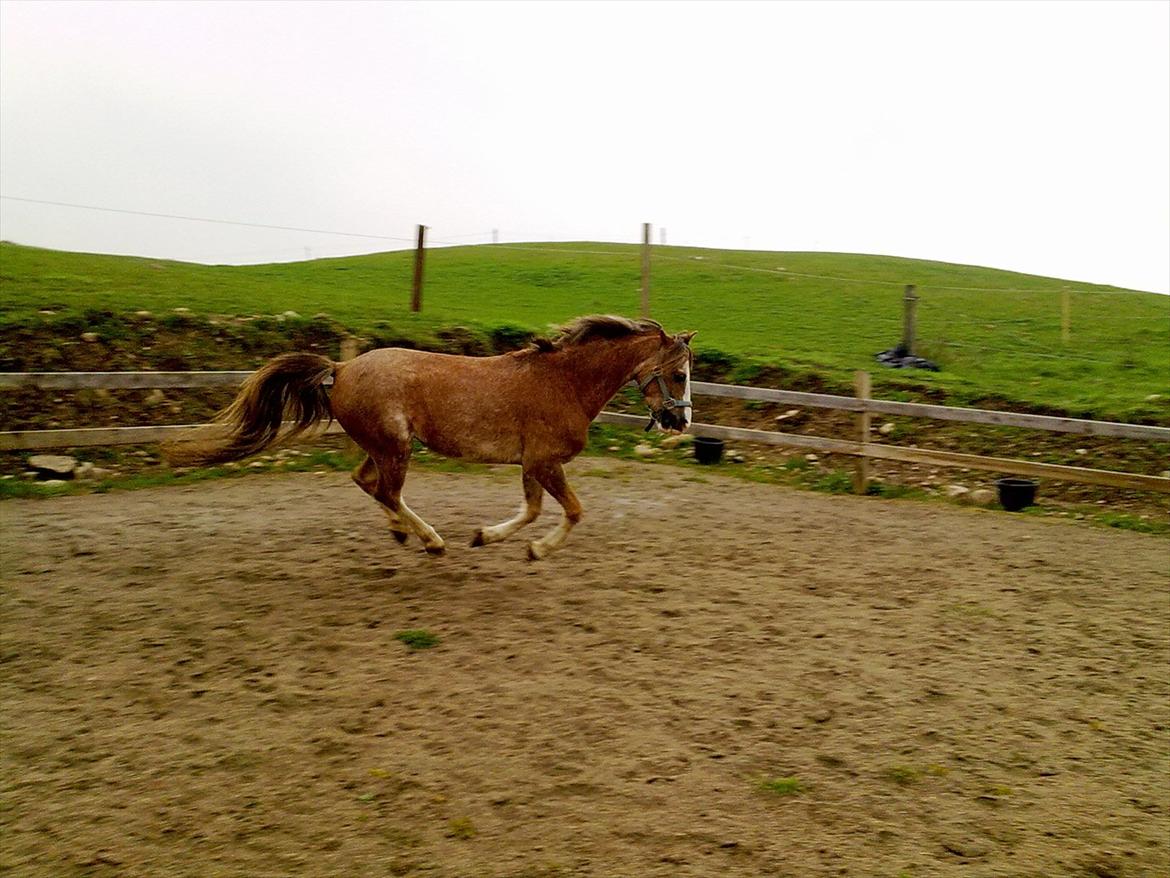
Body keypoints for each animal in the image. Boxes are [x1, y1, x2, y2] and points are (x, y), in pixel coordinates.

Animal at [168, 315, 696, 560]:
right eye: (682, 374)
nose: (682, 422)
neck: (564, 382)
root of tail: (340, 368)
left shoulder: (532, 464)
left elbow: (531, 510)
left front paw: (487, 537)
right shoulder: (545, 462)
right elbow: (573, 510)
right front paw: (535, 550)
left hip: (381, 446)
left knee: (366, 482)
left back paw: (403, 532)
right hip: (395, 447)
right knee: (386, 490)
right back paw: (431, 541)